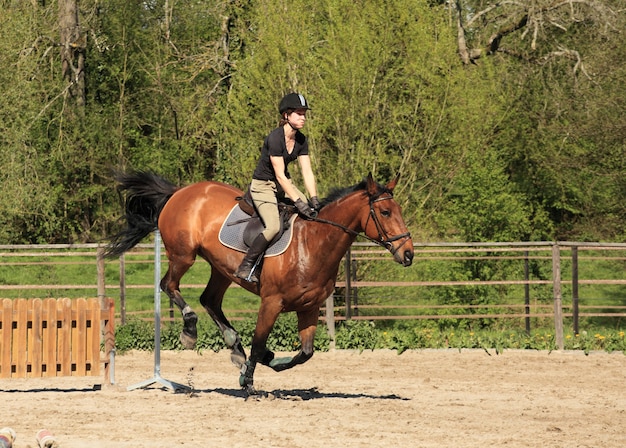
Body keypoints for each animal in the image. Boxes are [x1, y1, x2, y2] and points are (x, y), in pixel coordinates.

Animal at [105, 170, 412, 394]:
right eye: (385, 213)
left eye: (399, 210)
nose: (408, 253)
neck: (313, 243)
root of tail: (180, 191)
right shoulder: (271, 302)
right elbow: (259, 342)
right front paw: (248, 381)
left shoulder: (309, 308)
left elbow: (305, 353)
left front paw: (266, 362)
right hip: (183, 255)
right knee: (169, 285)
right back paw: (190, 331)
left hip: (222, 269)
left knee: (210, 300)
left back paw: (235, 350)